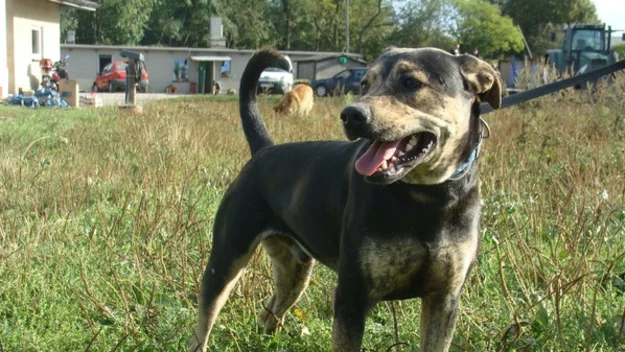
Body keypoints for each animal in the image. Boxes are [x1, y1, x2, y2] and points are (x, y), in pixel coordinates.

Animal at [188, 47, 500, 352]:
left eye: (411, 82)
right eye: (365, 84)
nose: (350, 114)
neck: (426, 196)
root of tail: (263, 151)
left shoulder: (444, 299)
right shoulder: (353, 295)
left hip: (294, 269)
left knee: (270, 311)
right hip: (226, 259)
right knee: (203, 326)